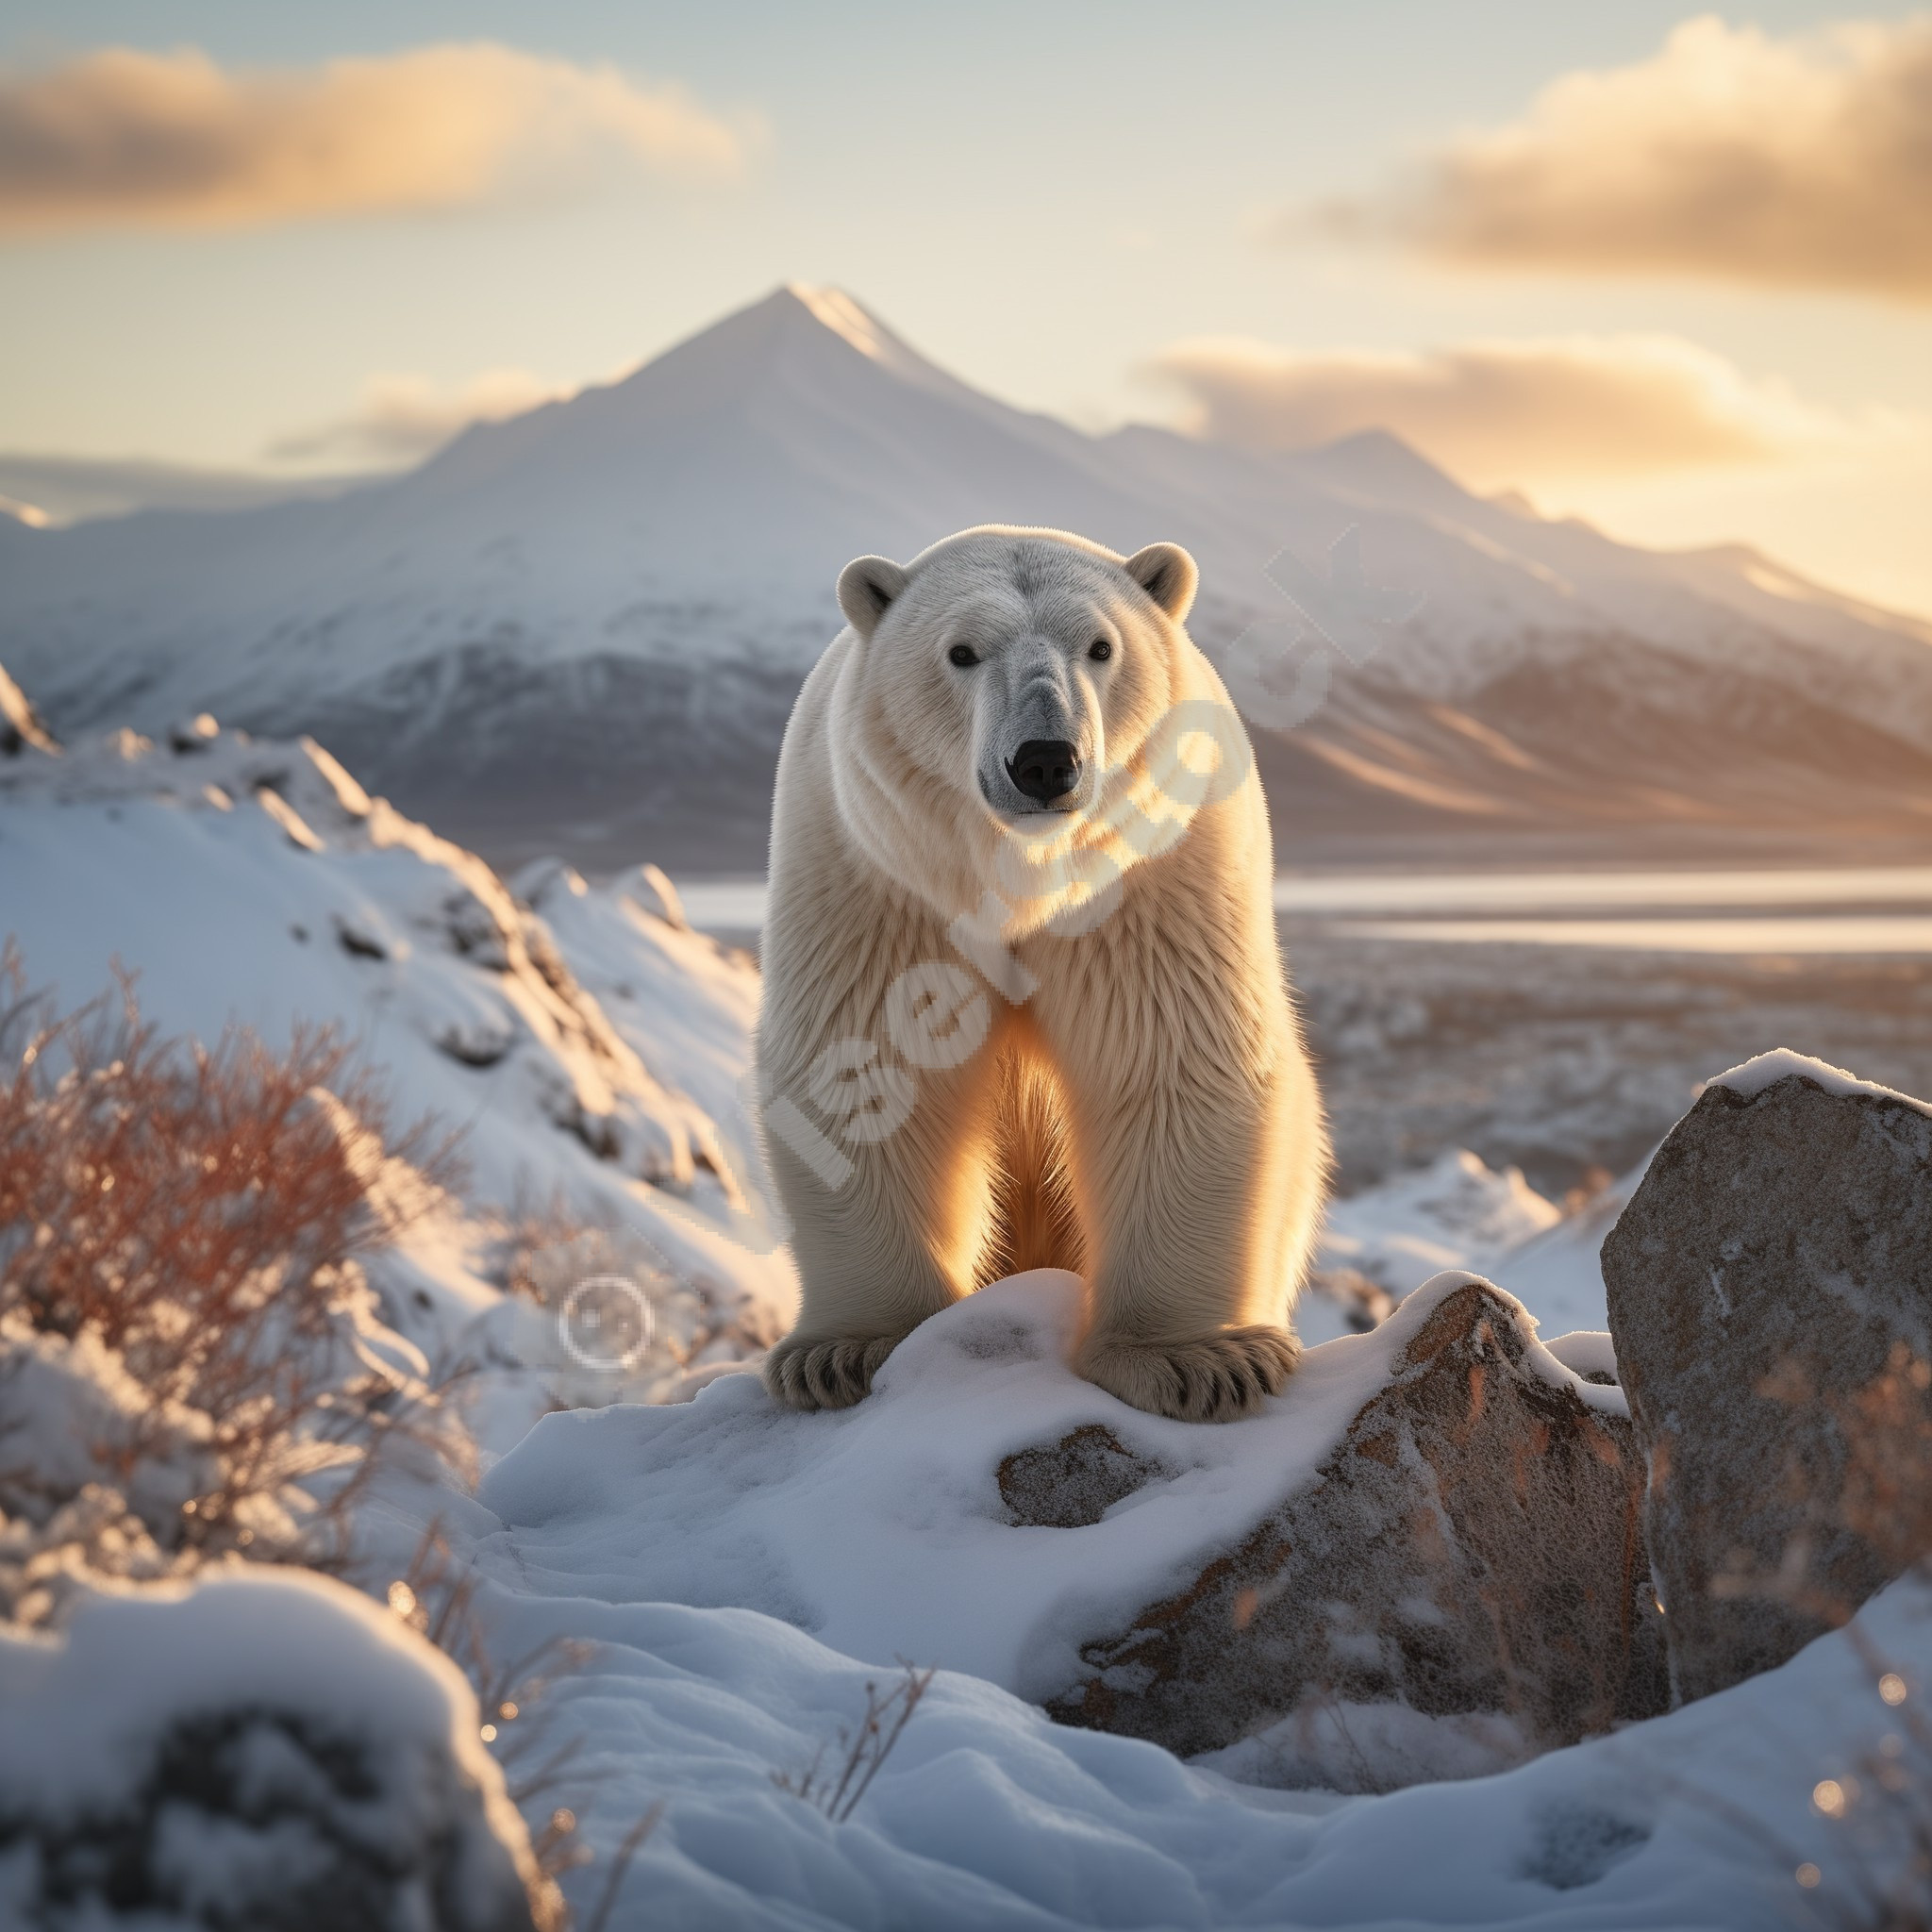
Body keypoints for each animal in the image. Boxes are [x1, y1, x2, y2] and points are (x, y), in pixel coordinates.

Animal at [754, 525, 1328, 1423]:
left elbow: (1168, 1058)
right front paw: (844, 1351)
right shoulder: (878, 879)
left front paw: (1198, 1361)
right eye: (961, 650)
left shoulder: (1148, 880)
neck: (1020, 881)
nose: (1046, 761)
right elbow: (862, 1069)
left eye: (1100, 645)